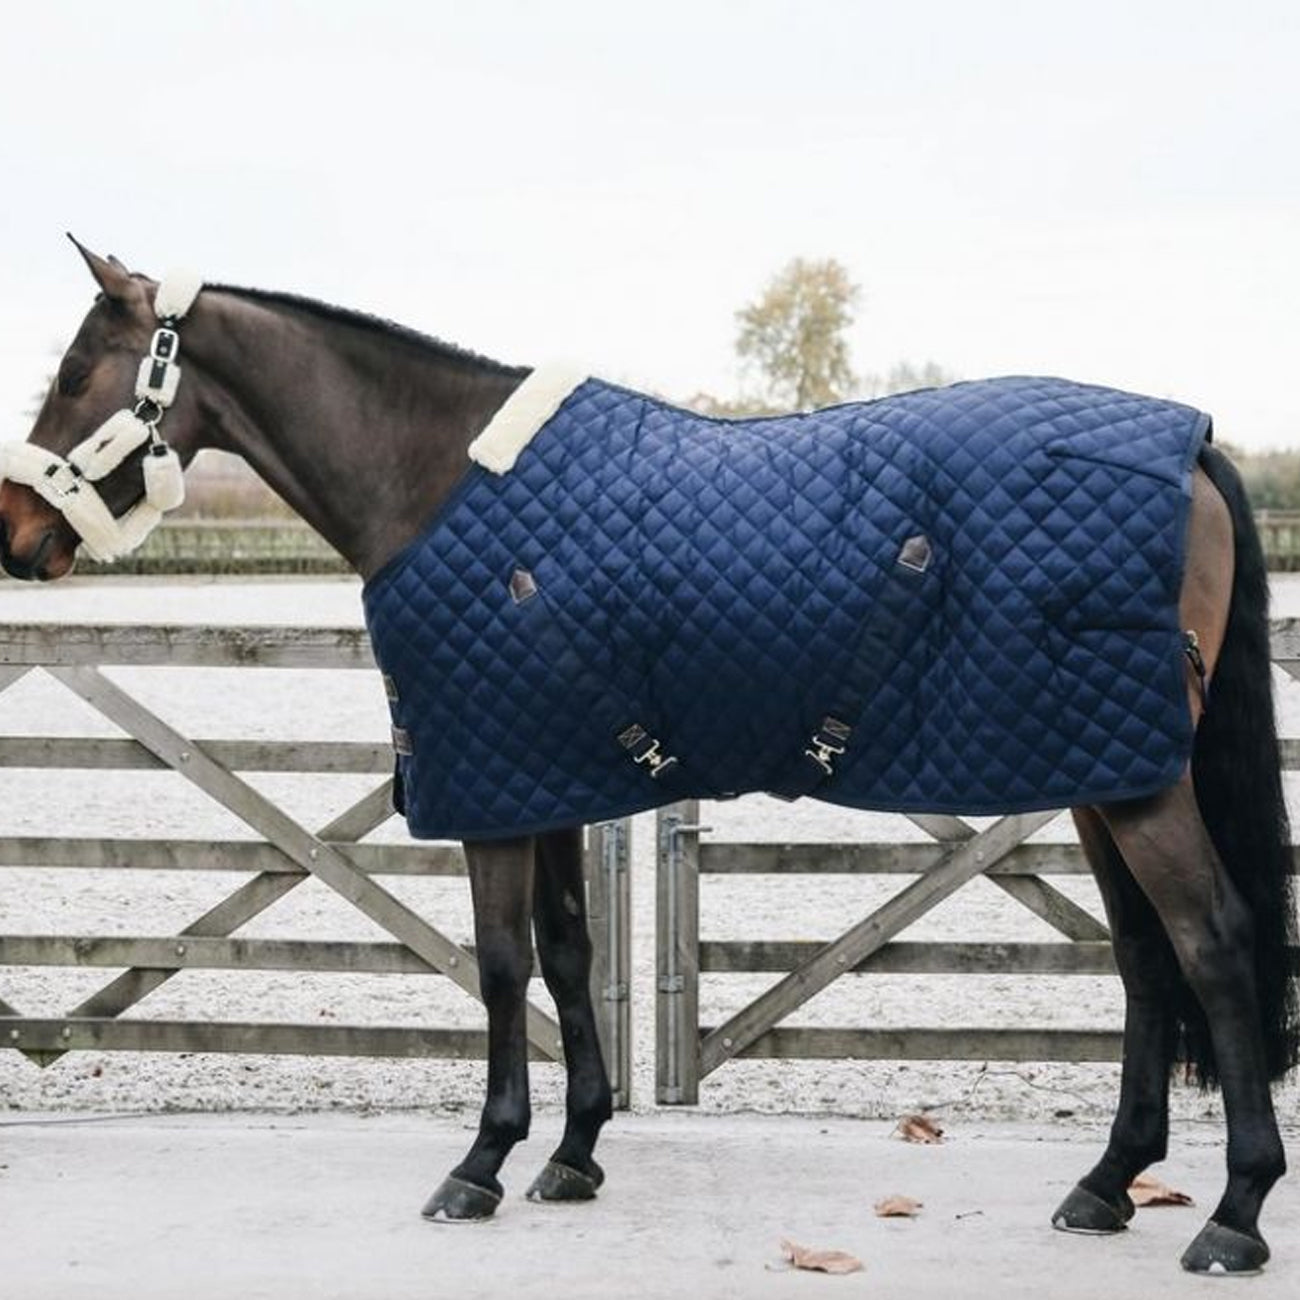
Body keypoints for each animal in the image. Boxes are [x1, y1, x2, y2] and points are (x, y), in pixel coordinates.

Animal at [0, 239, 1295, 1275]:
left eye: (73, 375)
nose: (18, 535)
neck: (436, 481)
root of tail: (1189, 446)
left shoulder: (492, 785)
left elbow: (503, 964)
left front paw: (481, 1160)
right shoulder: (548, 776)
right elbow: (570, 955)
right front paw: (573, 1151)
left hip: (1133, 782)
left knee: (1213, 941)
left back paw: (1230, 1214)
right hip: (1100, 769)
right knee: (1143, 957)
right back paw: (1106, 1185)